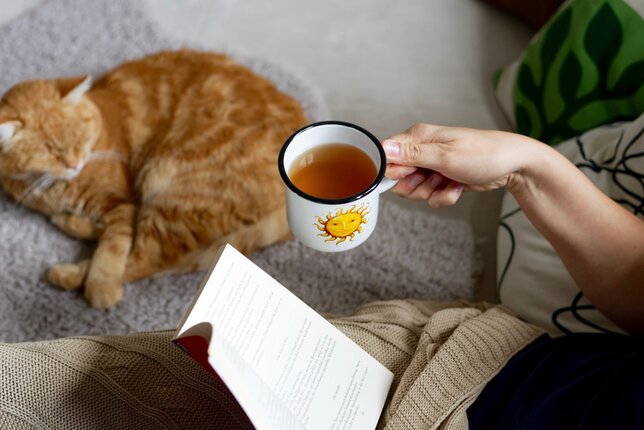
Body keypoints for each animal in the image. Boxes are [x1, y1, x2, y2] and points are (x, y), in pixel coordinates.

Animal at [0, 50, 310, 308]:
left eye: (77, 137)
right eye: (50, 151)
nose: (74, 163)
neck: (51, 188)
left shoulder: (121, 202)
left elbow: (112, 248)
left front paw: (101, 287)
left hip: (166, 185)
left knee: (146, 260)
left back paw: (69, 274)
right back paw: (70, 224)